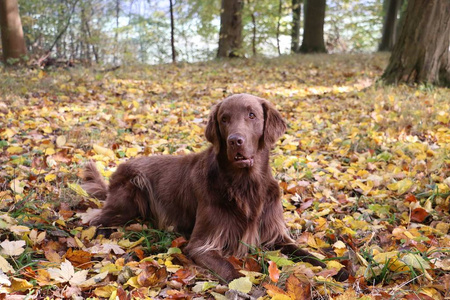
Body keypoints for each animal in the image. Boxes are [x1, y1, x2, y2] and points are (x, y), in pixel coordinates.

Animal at [81, 94, 348, 284]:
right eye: (224, 119)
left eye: (252, 115)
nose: (235, 141)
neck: (245, 185)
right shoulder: (203, 243)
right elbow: (230, 269)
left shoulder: (275, 233)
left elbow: (305, 253)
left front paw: (337, 269)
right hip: (127, 199)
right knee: (93, 221)